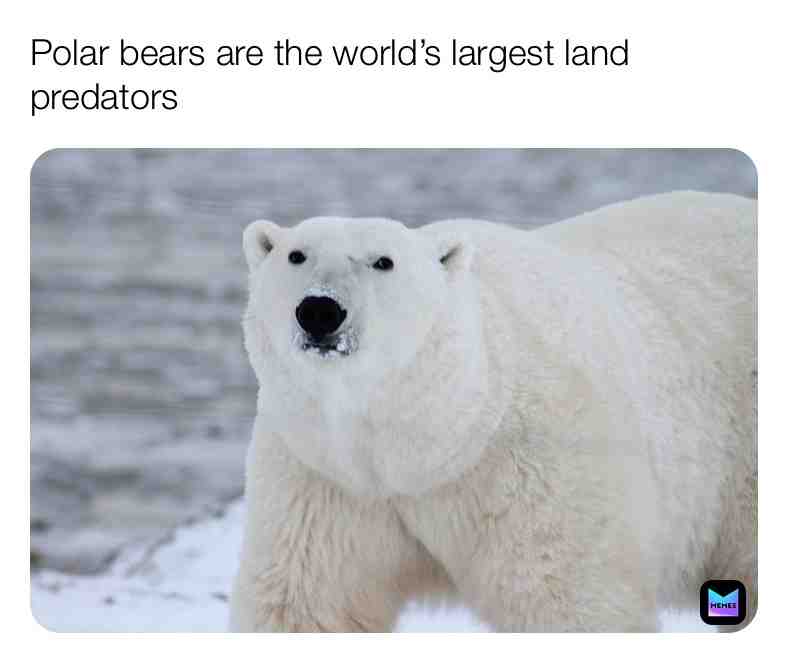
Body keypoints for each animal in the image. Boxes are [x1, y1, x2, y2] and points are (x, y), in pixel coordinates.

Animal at [229, 191, 756, 632]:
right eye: (296, 255)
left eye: (384, 261)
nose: (320, 310)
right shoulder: (325, 477)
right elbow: (307, 604)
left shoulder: (534, 469)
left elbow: (568, 599)